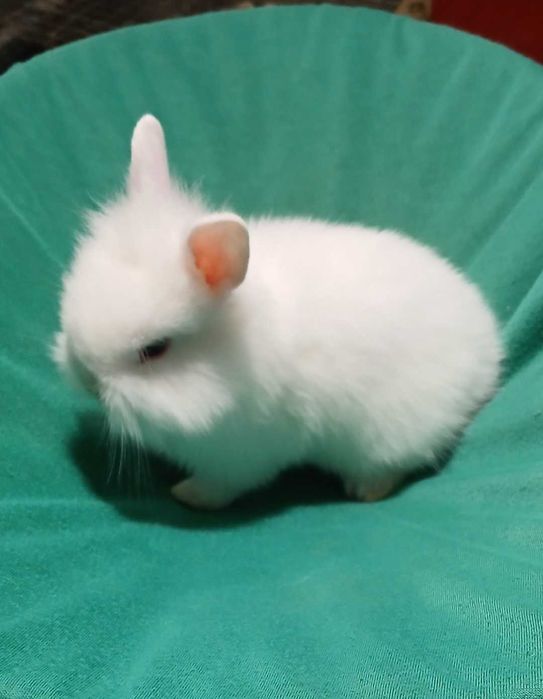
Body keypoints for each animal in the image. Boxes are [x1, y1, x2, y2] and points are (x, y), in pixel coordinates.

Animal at [54, 114, 503, 510]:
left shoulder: (242, 456)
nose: (89, 379)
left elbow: (221, 486)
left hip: (389, 435)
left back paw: (364, 489)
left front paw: (188, 495)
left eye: (155, 349)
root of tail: (488, 347)